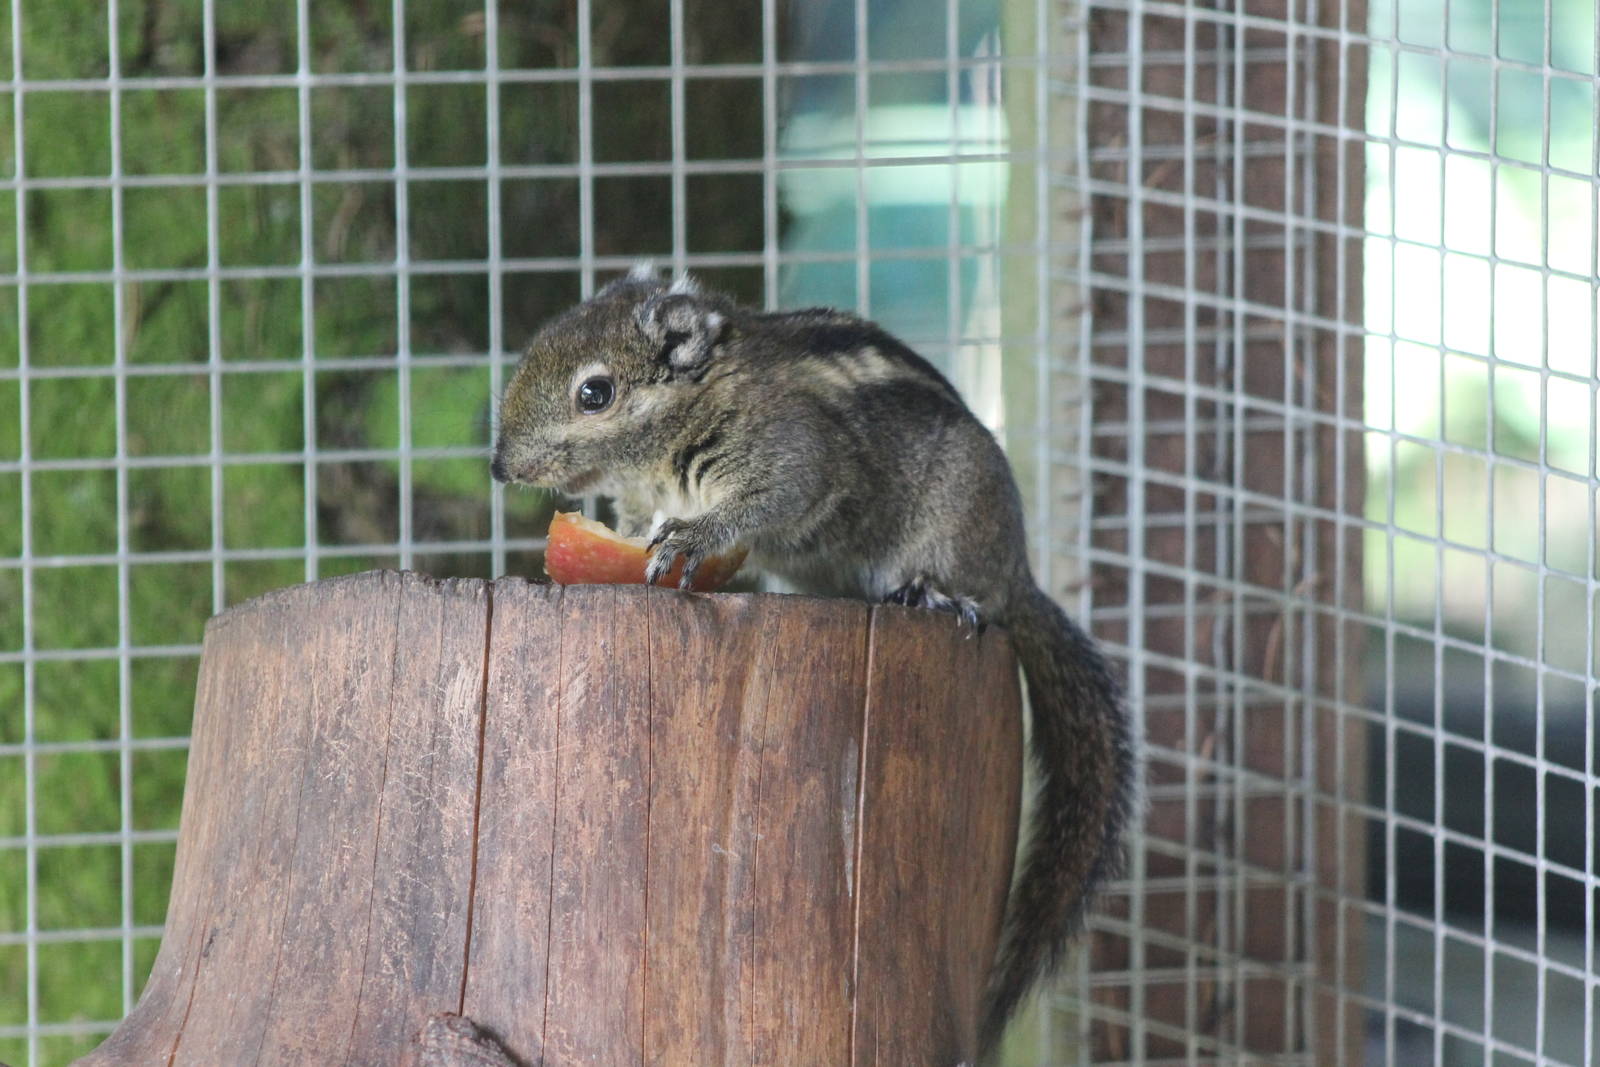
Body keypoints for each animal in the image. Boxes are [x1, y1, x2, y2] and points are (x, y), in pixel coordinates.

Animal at [488, 264, 1136, 1059]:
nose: (499, 465)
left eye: (594, 393)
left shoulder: (789, 455)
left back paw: (934, 592)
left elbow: (766, 502)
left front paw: (694, 538)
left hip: (958, 529)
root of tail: (1020, 577)